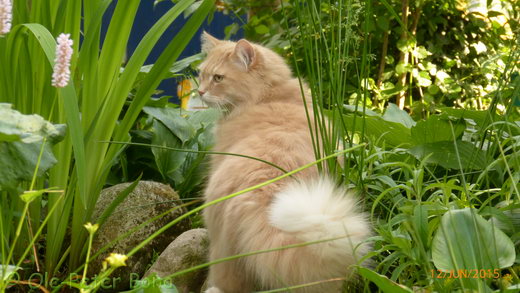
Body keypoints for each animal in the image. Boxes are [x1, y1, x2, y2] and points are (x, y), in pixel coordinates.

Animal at [198, 32, 370, 292]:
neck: (271, 94)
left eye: (218, 78)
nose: (199, 92)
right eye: (201, 74)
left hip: (221, 249)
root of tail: (268, 188)